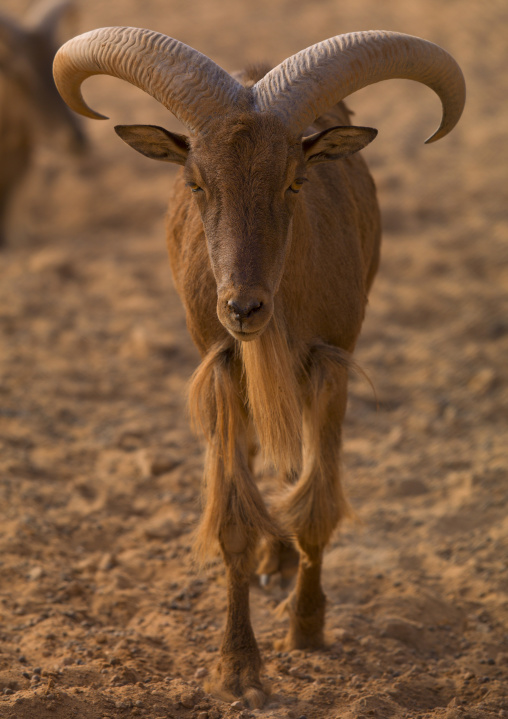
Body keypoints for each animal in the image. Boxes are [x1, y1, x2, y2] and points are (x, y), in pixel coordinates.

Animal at [52, 27, 465, 707]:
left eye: (295, 182)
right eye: (197, 183)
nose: (243, 308)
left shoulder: (331, 362)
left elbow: (316, 503)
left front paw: (308, 627)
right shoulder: (223, 367)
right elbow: (233, 521)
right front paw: (239, 669)